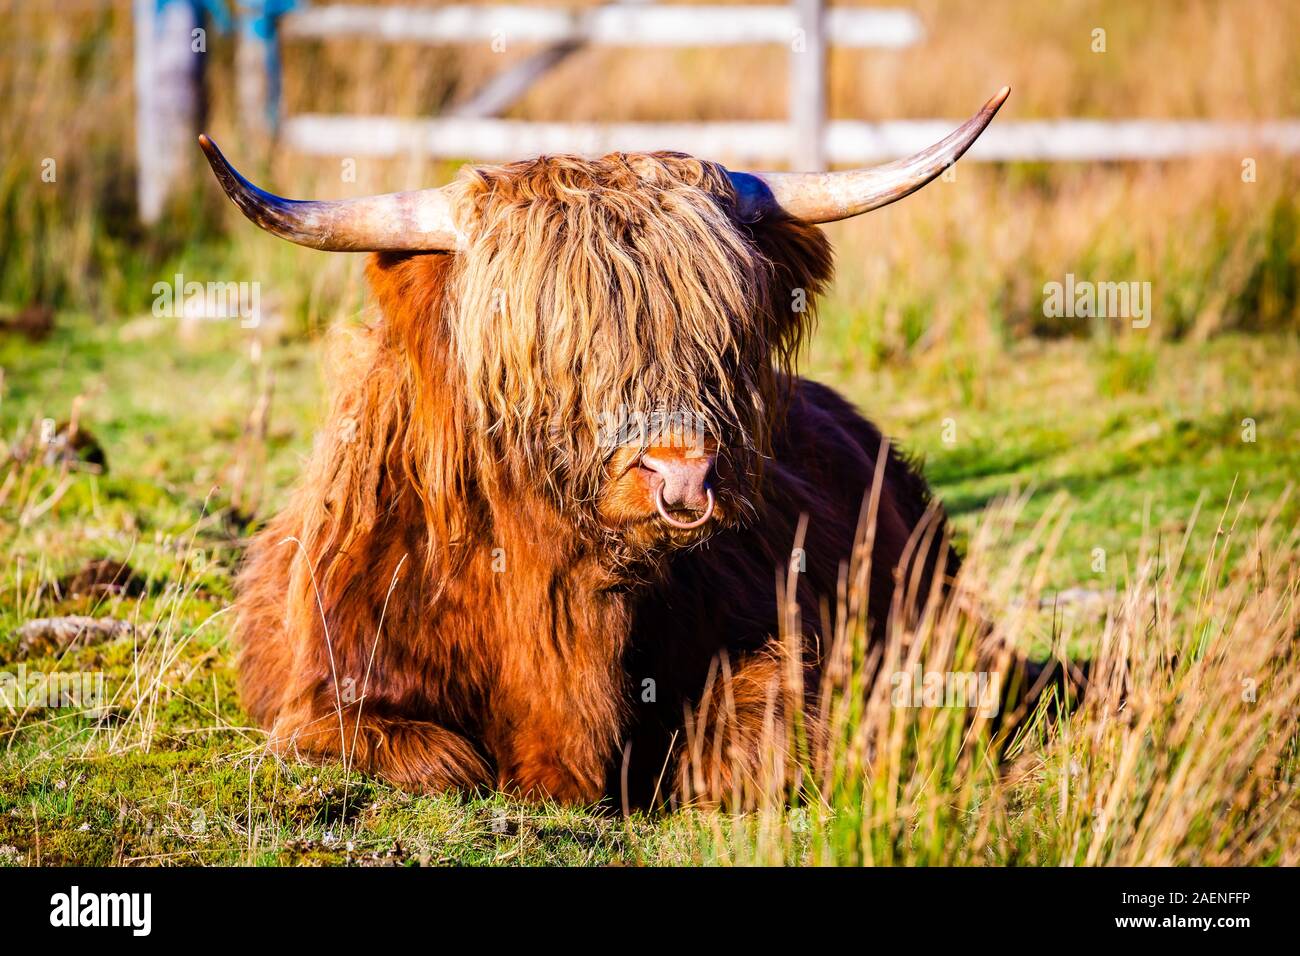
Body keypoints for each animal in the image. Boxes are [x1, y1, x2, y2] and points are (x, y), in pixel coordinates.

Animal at [201, 88, 1016, 808]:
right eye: (555, 349)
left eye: (722, 338)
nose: (683, 473)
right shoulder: (323, 697)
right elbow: (441, 763)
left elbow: (756, 743)